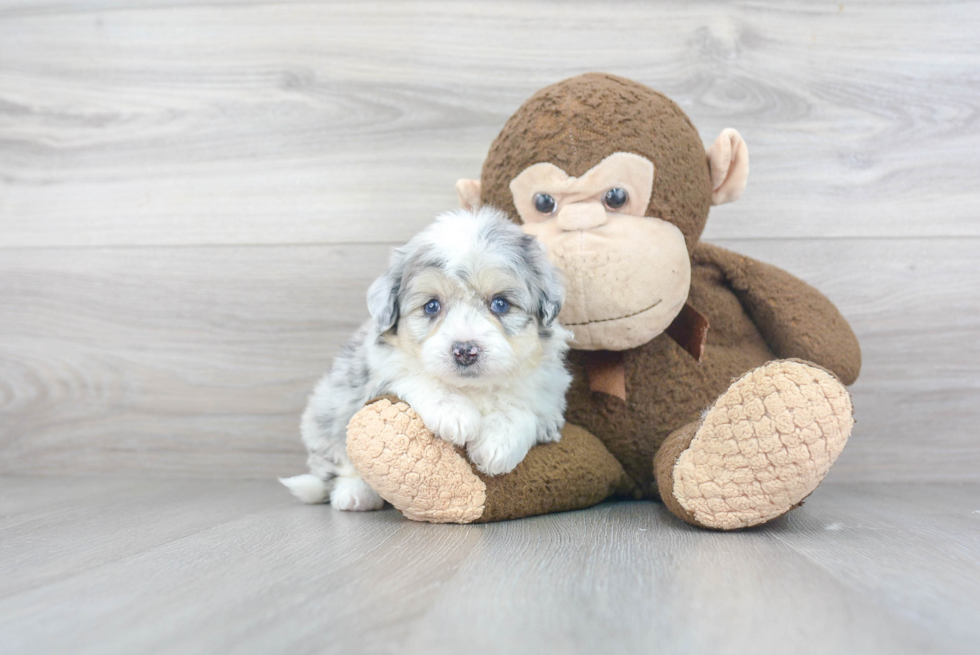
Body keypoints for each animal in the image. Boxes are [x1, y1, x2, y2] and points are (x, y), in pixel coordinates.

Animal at [282, 209, 576, 512]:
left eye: (500, 303)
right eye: (432, 306)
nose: (465, 350)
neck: (474, 388)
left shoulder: (548, 397)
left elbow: (520, 405)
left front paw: (498, 443)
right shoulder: (383, 372)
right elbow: (419, 377)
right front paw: (454, 413)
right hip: (326, 412)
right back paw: (354, 494)